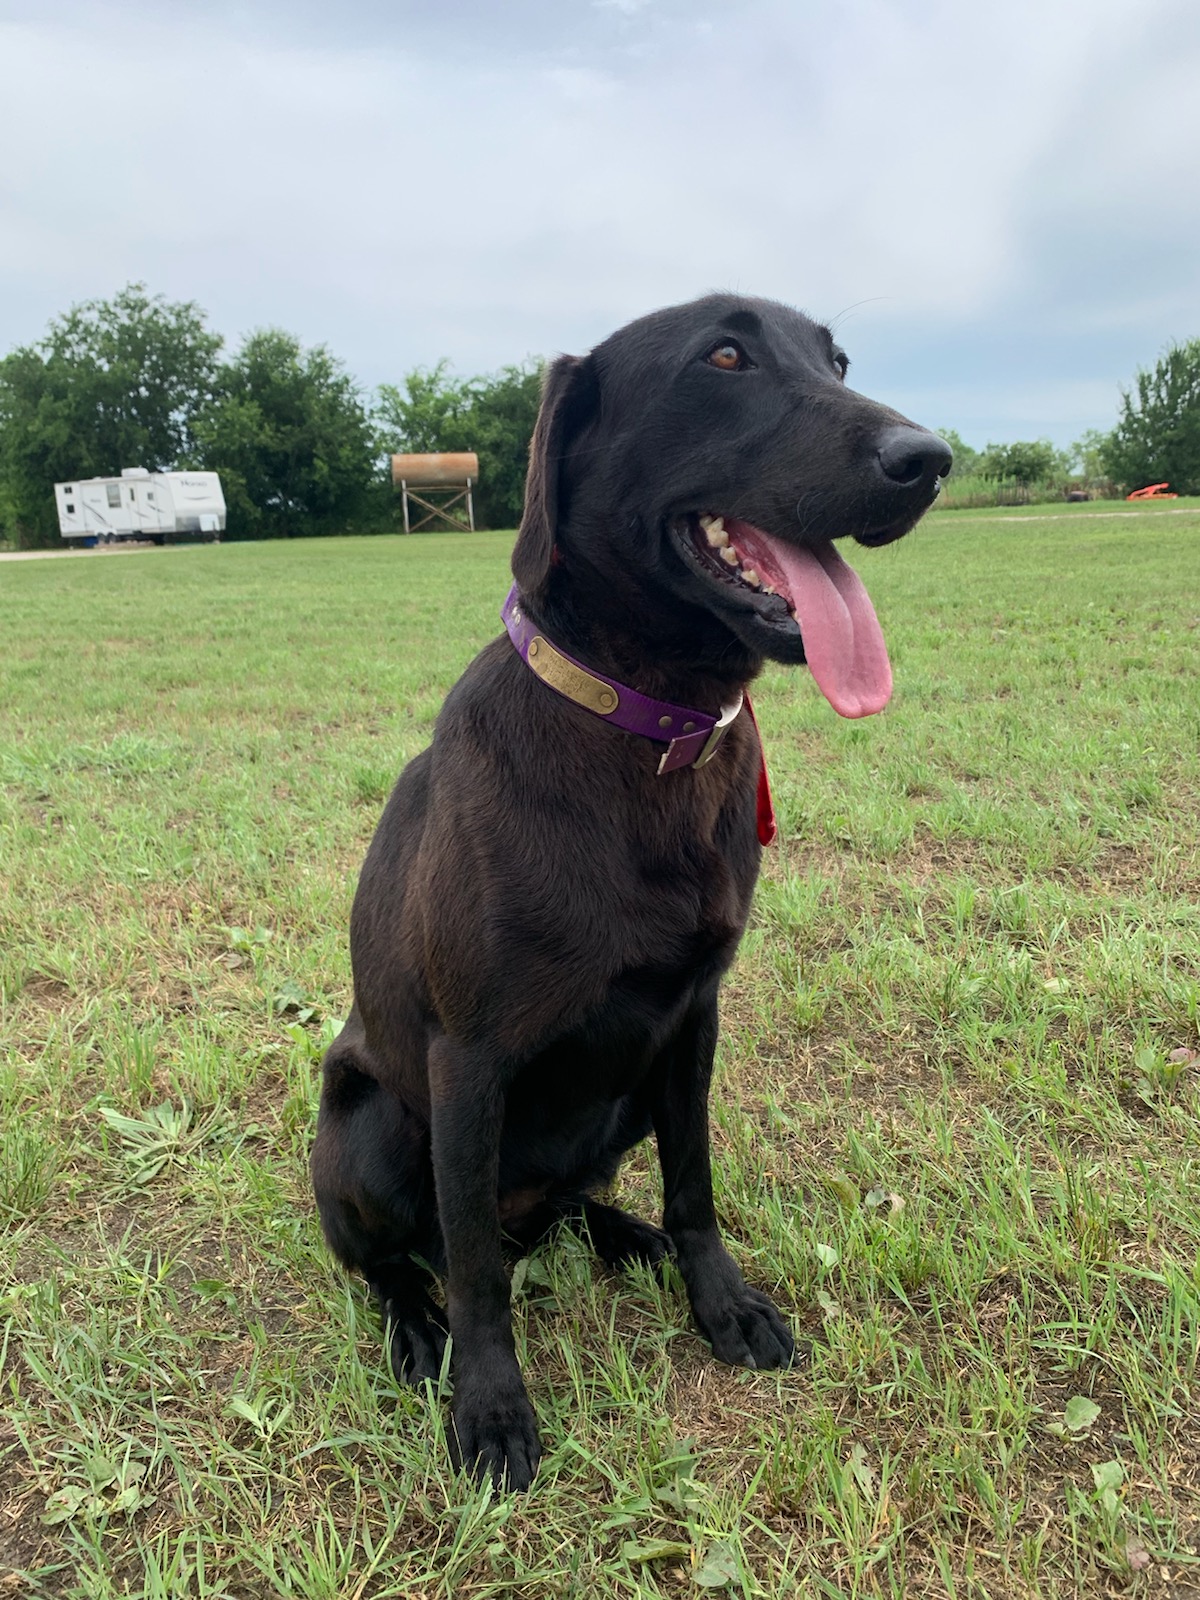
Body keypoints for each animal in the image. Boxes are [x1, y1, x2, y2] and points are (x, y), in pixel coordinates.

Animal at [315, 294, 953, 1491]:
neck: (643, 726)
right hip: (369, 1129)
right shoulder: (468, 1060)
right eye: (725, 355)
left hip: (614, 1100)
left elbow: (694, 1182)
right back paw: (416, 1327)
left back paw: (629, 1240)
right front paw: (492, 1406)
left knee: (568, 1206)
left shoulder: (691, 1017)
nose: (928, 459)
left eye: (839, 361)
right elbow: (475, 1272)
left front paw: (719, 1299)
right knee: (407, 1258)